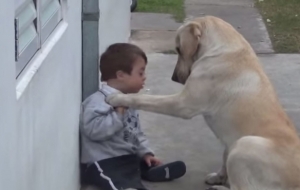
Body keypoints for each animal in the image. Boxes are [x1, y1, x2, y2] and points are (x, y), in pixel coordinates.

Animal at [106, 15, 300, 190]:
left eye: (178, 49)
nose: (174, 78)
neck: (222, 48)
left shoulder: (182, 104)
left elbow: (144, 98)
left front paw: (117, 97)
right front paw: (219, 176)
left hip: (244, 144)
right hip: (235, 144)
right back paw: (218, 179)